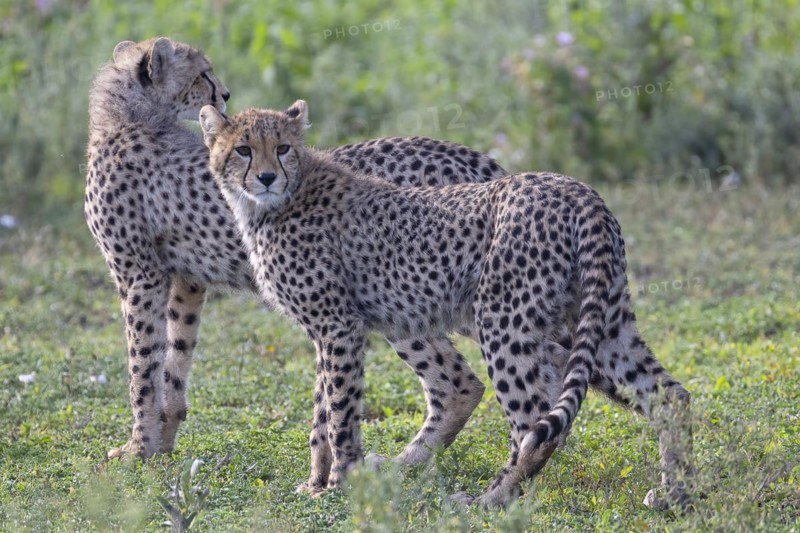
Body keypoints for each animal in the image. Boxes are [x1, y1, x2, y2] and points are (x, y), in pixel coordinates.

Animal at [84, 38, 512, 475]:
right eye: (203, 73)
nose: (225, 95)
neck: (130, 115)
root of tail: (464, 155)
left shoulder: (139, 275)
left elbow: (141, 365)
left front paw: (137, 448)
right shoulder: (186, 281)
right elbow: (173, 360)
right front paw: (162, 442)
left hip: (402, 296)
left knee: (457, 380)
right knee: (462, 382)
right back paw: (401, 465)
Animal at [199, 100, 695, 509]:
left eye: (282, 148)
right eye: (243, 150)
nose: (266, 177)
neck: (276, 200)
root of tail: (574, 188)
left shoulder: (337, 325)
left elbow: (339, 410)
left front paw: (339, 484)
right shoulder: (328, 328)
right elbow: (323, 408)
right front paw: (317, 483)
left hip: (504, 320)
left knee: (531, 420)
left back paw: (487, 501)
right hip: (602, 320)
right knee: (669, 394)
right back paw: (677, 495)